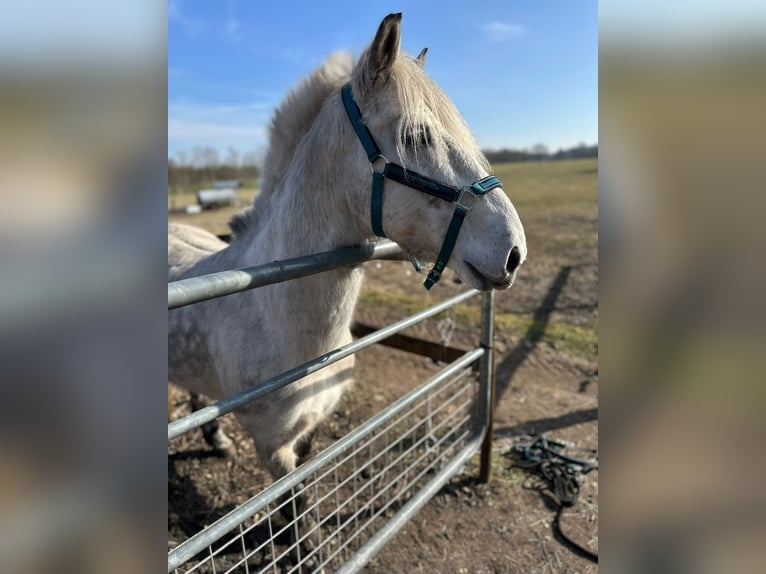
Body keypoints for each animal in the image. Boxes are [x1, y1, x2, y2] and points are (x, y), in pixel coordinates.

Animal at [168, 12, 526, 508]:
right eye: (417, 136)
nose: (515, 252)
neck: (276, 319)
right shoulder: (273, 450)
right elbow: (297, 515)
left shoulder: (308, 434)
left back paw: (216, 438)